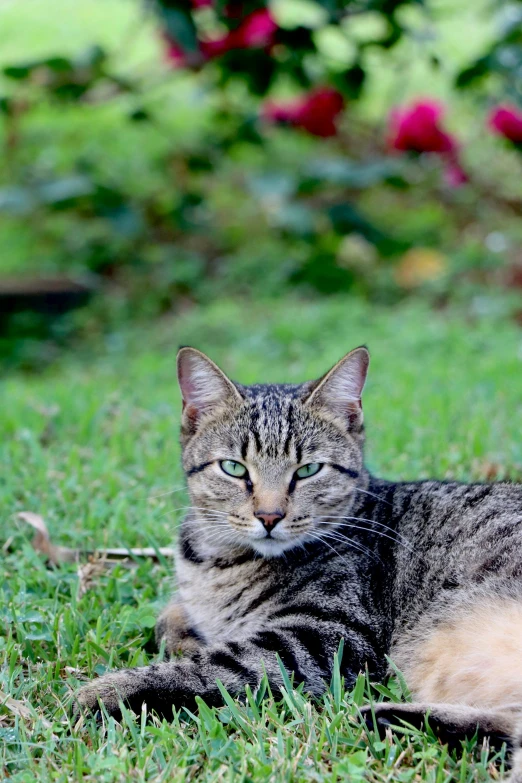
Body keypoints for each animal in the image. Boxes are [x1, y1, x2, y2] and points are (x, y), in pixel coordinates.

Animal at [76, 348, 522, 776]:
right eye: (234, 468)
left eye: (308, 470)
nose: (270, 516)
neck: (218, 561)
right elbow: (168, 622)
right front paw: (186, 635)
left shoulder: (328, 635)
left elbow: (207, 667)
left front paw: (103, 692)